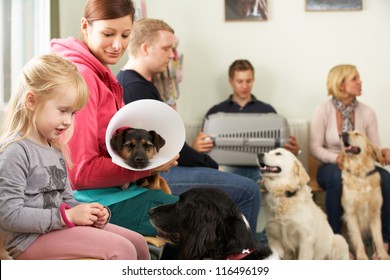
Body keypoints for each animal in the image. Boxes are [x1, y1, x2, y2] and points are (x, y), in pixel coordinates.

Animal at [338, 130, 390, 260]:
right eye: (346, 132)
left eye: (357, 134)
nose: (342, 133)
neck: (360, 175)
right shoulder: (351, 214)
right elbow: (358, 240)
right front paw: (362, 257)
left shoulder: (375, 212)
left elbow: (378, 238)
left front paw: (383, 255)